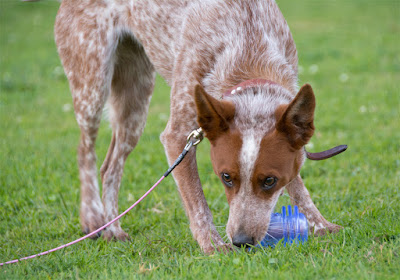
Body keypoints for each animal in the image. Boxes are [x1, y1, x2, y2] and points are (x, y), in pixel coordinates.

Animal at [54, 0, 346, 254]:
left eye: (270, 181)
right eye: (226, 177)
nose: (241, 241)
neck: (248, 50)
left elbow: (298, 186)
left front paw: (320, 224)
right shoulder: (177, 136)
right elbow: (197, 203)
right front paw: (213, 244)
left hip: (135, 100)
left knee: (110, 166)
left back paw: (112, 227)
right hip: (93, 85)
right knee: (85, 150)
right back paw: (93, 217)